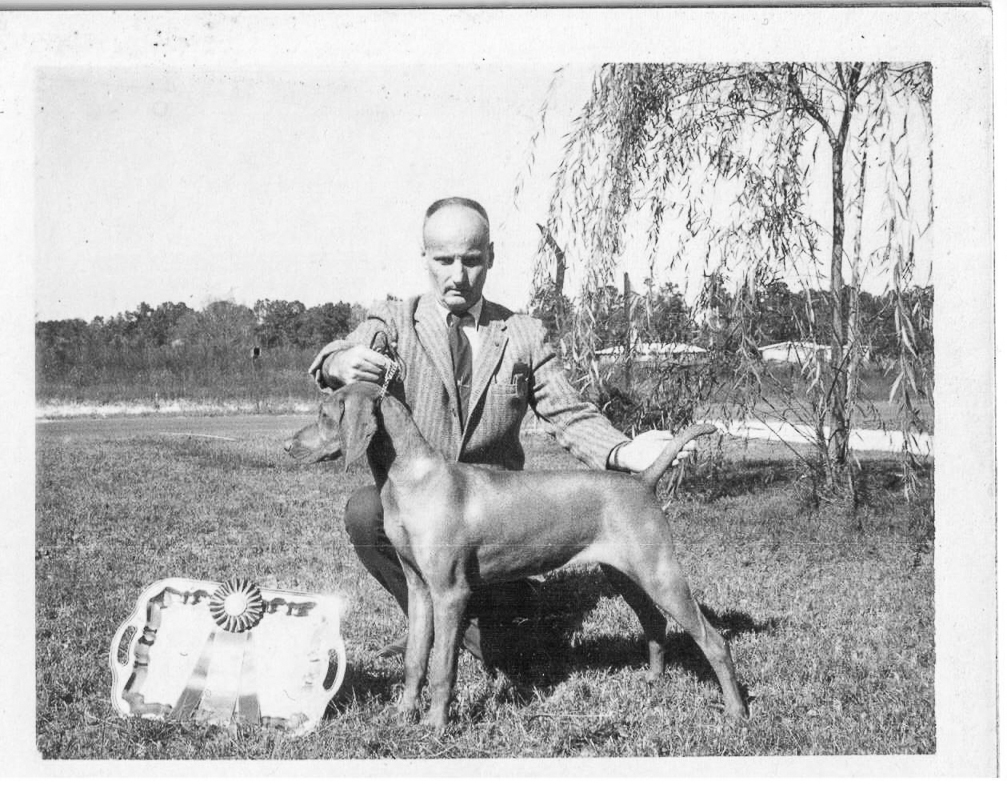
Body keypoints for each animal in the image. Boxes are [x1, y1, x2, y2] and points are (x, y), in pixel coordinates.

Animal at [288, 384, 745, 729]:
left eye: (325, 414)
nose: (289, 444)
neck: (413, 479)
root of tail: (644, 480)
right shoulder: (419, 589)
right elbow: (416, 659)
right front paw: (403, 714)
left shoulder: (451, 593)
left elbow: (442, 668)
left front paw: (435, 725)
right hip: (624, 574)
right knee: (653, 622)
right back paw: (653, 680)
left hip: (661, 574)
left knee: (713, 640)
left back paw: (737, 711)